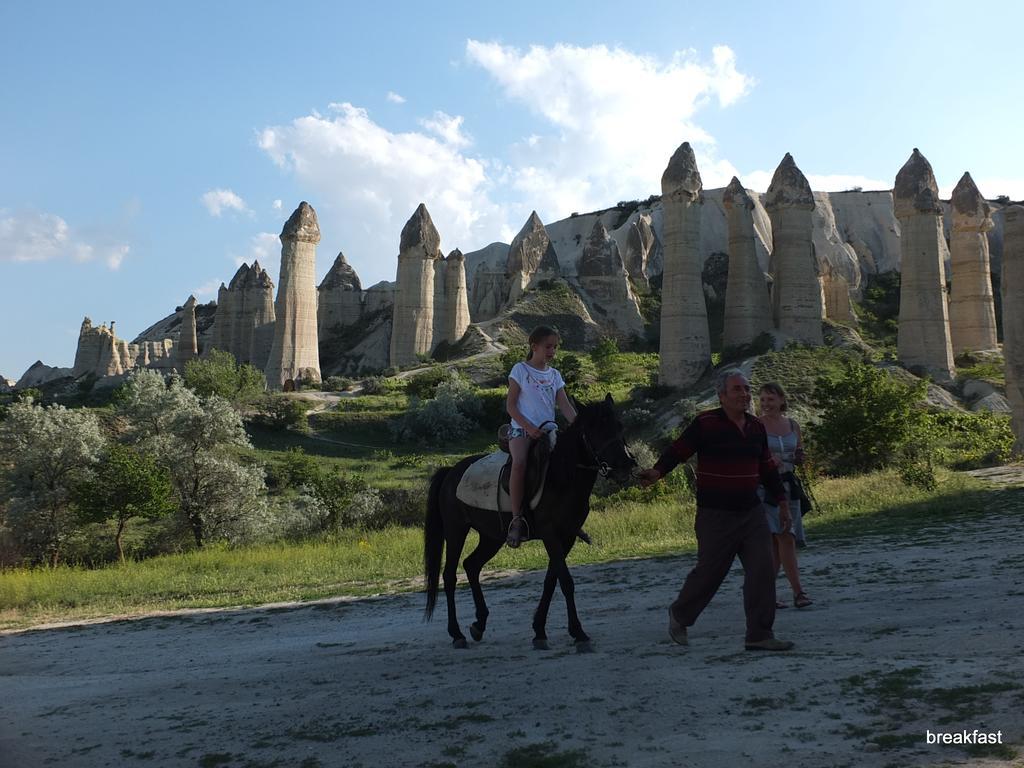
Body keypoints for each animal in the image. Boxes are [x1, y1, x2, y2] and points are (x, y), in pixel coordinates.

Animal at [421, 397, 630, 655]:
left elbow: (551, 581)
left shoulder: (567, 537)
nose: (626, 466)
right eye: (594, 430)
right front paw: (579, 634)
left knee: (472, 565)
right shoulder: (551, 534)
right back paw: (457, 634)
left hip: (492, 537)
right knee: (450, 576)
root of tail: (451, 472)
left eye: (619, 426)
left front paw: (539, 631)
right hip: (456, 530)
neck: (561, 474)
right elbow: (566, 582)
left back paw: (479, 624)